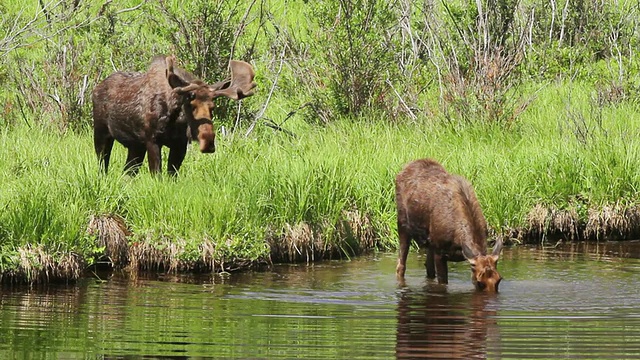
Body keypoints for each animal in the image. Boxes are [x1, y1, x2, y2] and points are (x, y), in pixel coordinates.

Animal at [91, 53, 256, 176]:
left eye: (212, 107)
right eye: (189, 105)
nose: (208, 142)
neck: (175, 121)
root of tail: (95, 89)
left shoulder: (179, 145)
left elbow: (171, 175)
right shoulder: (152, 140)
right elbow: (157, 174)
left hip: (135, 145)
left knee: (127, 172)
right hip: (101, 132)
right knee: (102, 166)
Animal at [392, 159, 502, 292]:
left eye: (499, 279)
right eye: (480, 282)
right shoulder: (440, 252)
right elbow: (443, 283)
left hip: (430, 242)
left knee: (428, 269)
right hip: (403, 226)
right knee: (400, 266)